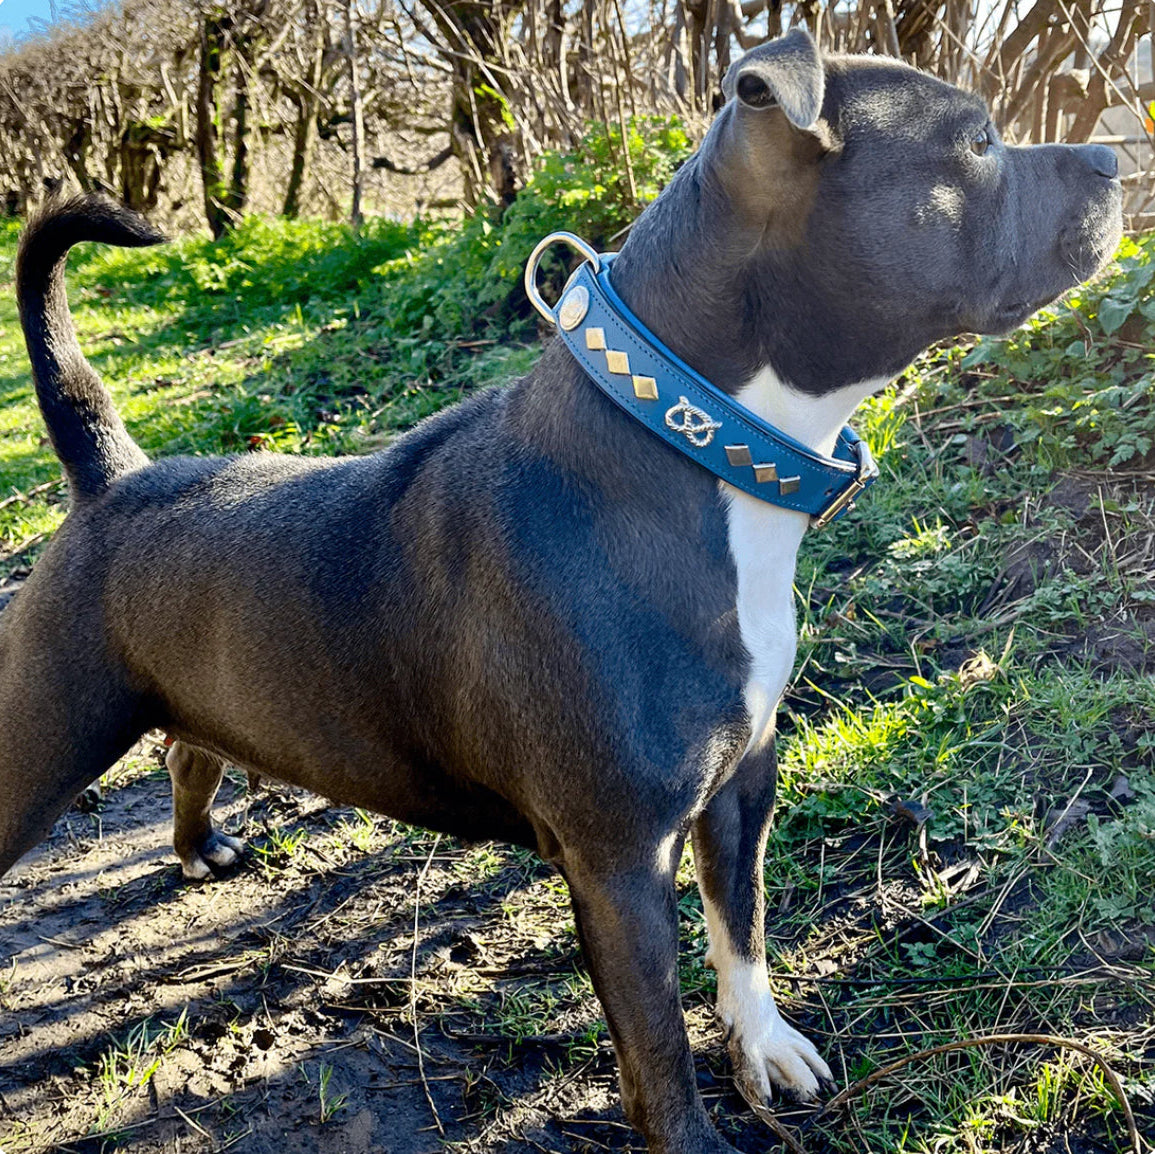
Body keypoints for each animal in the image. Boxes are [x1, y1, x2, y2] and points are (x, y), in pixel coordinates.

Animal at [0, 27, 1118, 1154]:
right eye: (976, 142)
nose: (1115, 157)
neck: (695, 443)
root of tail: (112, 480)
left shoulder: (741, 780)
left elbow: (744, 925)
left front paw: (763, 1044)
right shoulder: (618, 859)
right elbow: (657, 1040)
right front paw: (693, 1133)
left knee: (190, 749)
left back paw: (197, 847)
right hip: (42, 741)